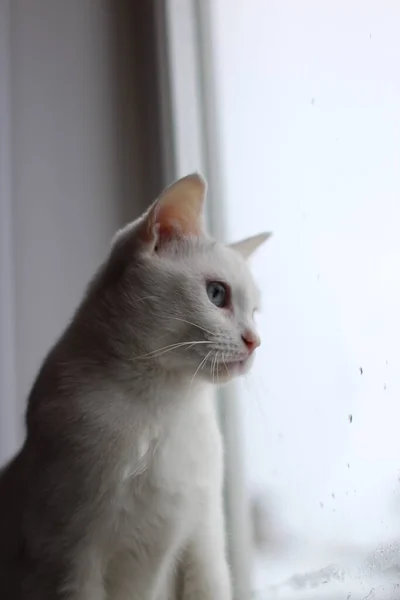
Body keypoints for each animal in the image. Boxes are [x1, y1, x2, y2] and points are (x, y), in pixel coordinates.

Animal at [0, 171, 270, 596]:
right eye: (216, 294)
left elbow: (209, 583)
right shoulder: (72, 561)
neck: (164, 408)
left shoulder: (203, 544)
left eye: (255, 313)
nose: (255, 341)